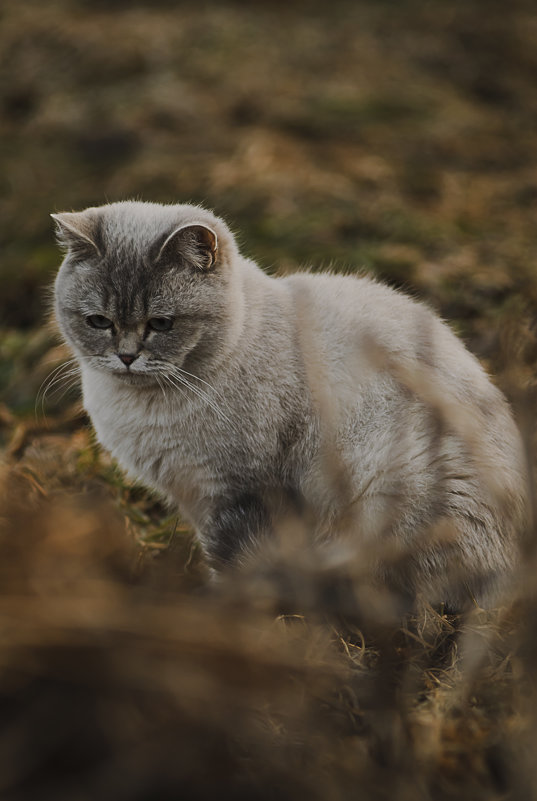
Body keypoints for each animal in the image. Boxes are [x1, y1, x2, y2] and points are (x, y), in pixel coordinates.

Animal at [52, 200, 524, 608]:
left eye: (161, 324)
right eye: (99, 322)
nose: (126, 357)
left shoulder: (238, 492)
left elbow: (235, 564)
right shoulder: (198, 499)